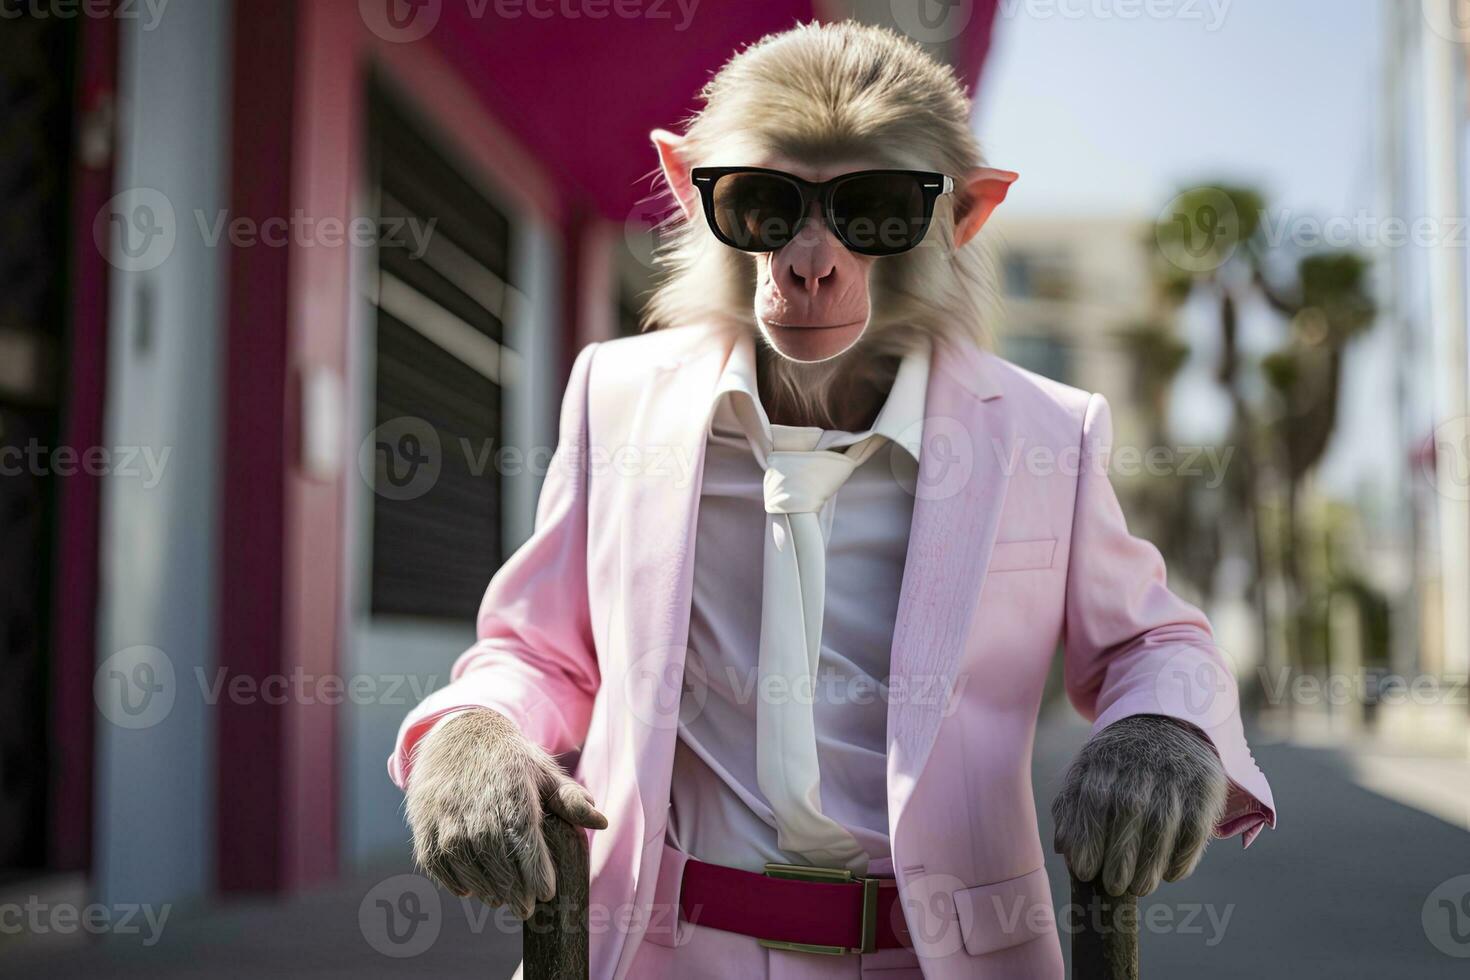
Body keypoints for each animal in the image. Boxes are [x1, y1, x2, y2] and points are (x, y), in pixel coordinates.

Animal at [396, 19, 1270, 975]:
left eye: (877, 211)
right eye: (760, 205)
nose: (808, 266)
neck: (817, 411)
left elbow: (1156, 636)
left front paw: (1150, 766)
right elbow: (533, 649)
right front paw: (477, 772)